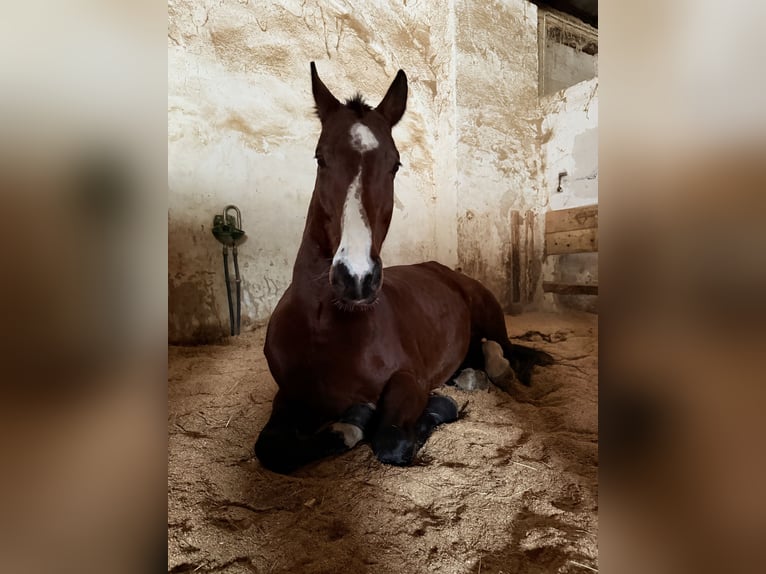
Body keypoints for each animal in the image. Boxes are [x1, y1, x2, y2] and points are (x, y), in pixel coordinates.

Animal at [255, 63, 553, 474]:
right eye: (320, 158)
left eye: (395, 164)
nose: (357, 278)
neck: (323, 326)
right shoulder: (289, 396)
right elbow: (271, 449)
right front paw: (349, 425)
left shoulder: (409, 381)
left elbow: (392, 439)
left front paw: (408, 415)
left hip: (491, 319)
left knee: (504, 351)